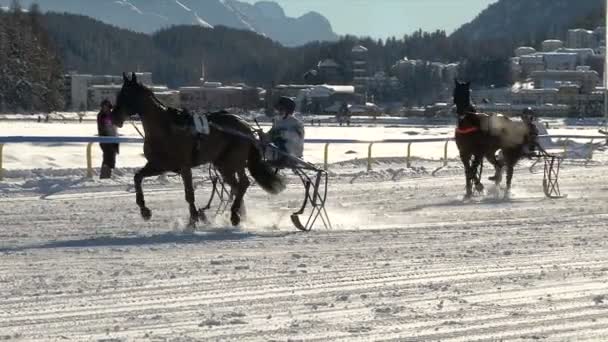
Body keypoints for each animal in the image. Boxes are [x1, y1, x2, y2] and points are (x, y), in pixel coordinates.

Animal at [110, 72, 284, 227]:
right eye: (119, 93)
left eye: (127, 94)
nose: (114, 117)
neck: (166, 129)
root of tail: (246, 126)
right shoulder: (159, 165)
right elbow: (137, 177)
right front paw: (145, 210)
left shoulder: (184, 166)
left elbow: (189, 194)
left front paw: (193, 219)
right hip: (223, 164)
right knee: (236, 186)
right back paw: (240, 214)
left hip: (232, 161)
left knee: (243, 184)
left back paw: (235, 214)